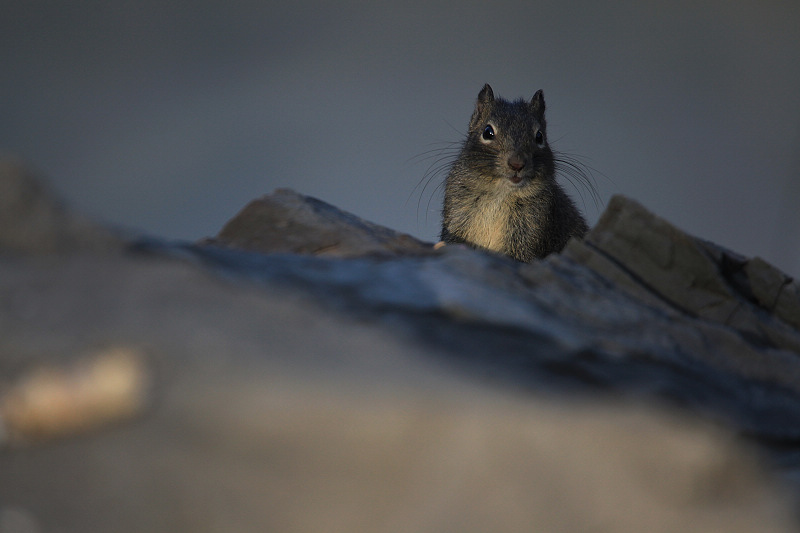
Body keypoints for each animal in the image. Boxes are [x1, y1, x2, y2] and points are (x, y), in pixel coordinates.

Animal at [438, 82, 588, 262]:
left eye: (539, 136)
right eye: (487, 132)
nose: (517, 163)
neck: (500, 194)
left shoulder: (532, 226)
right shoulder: (458, 212)